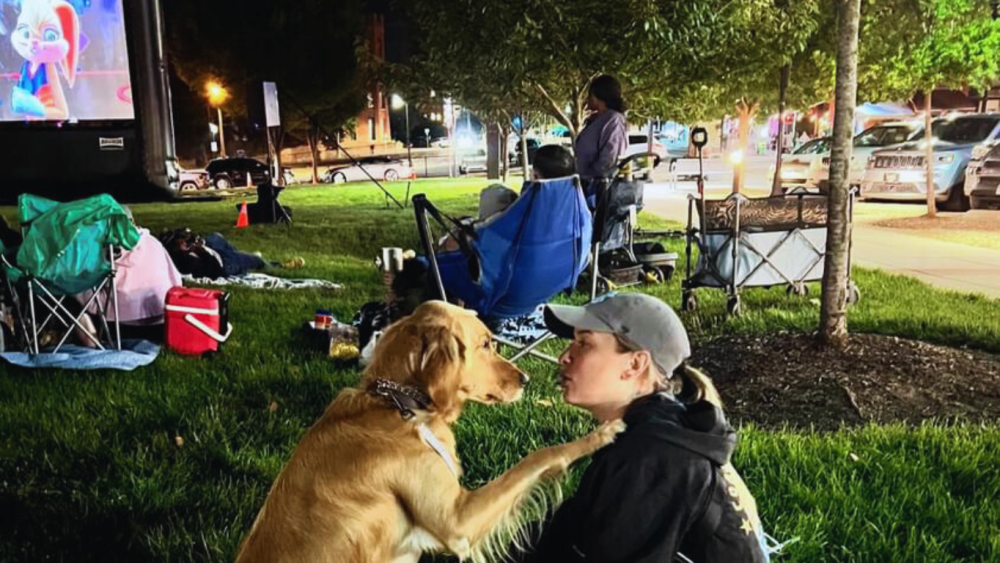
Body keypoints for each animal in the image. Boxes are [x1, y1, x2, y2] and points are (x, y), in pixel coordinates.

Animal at [236, 302, 624, 563]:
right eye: (486, 344)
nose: (526, 379)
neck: (400, 407)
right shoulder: (457, 522)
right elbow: (538, 456)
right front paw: (601, 433)